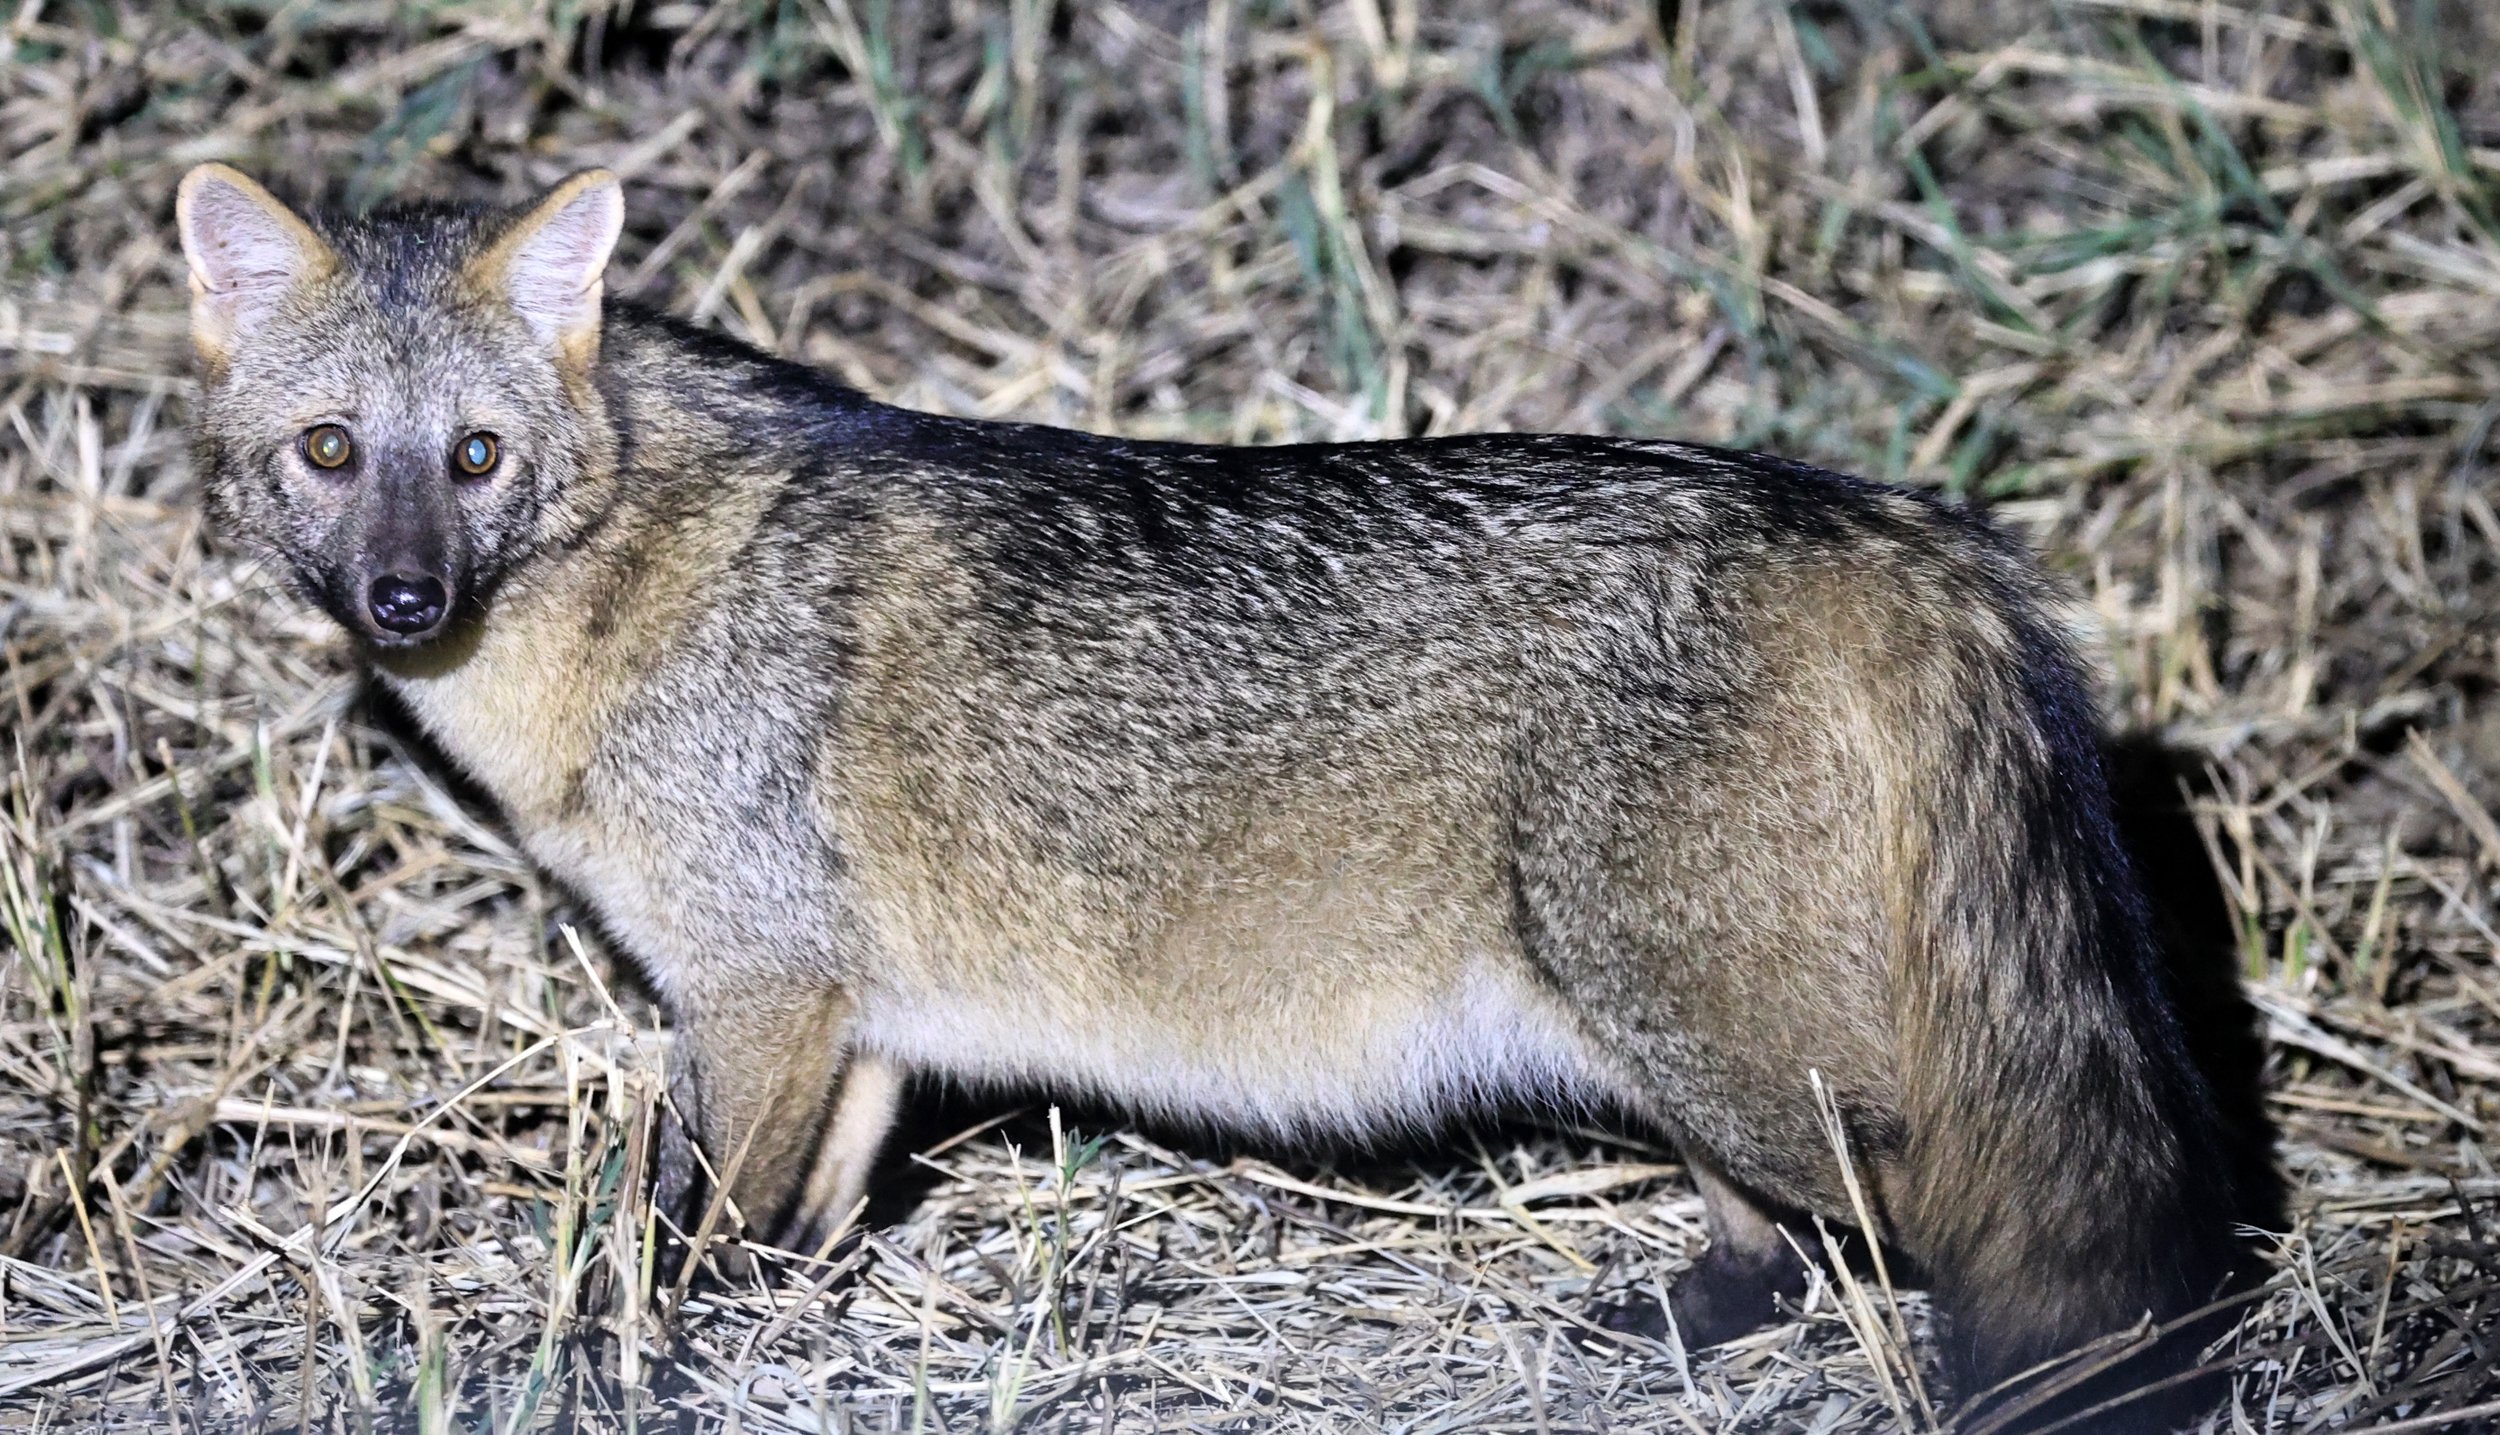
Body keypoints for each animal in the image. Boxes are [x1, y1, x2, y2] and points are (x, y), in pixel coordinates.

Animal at [177, 163, 2248, 1428]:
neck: (626, 596)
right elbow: (796, 1231)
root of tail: (1876, 515)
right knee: (1785, 1235)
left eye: (473, 459)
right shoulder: (854, 1030)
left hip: (1745, 1052)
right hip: (1689, 1049)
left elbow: (670, 1240)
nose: (402, 601)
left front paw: (632, 1367)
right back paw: (1682, 1318)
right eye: (333, 453)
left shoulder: (756, 997)